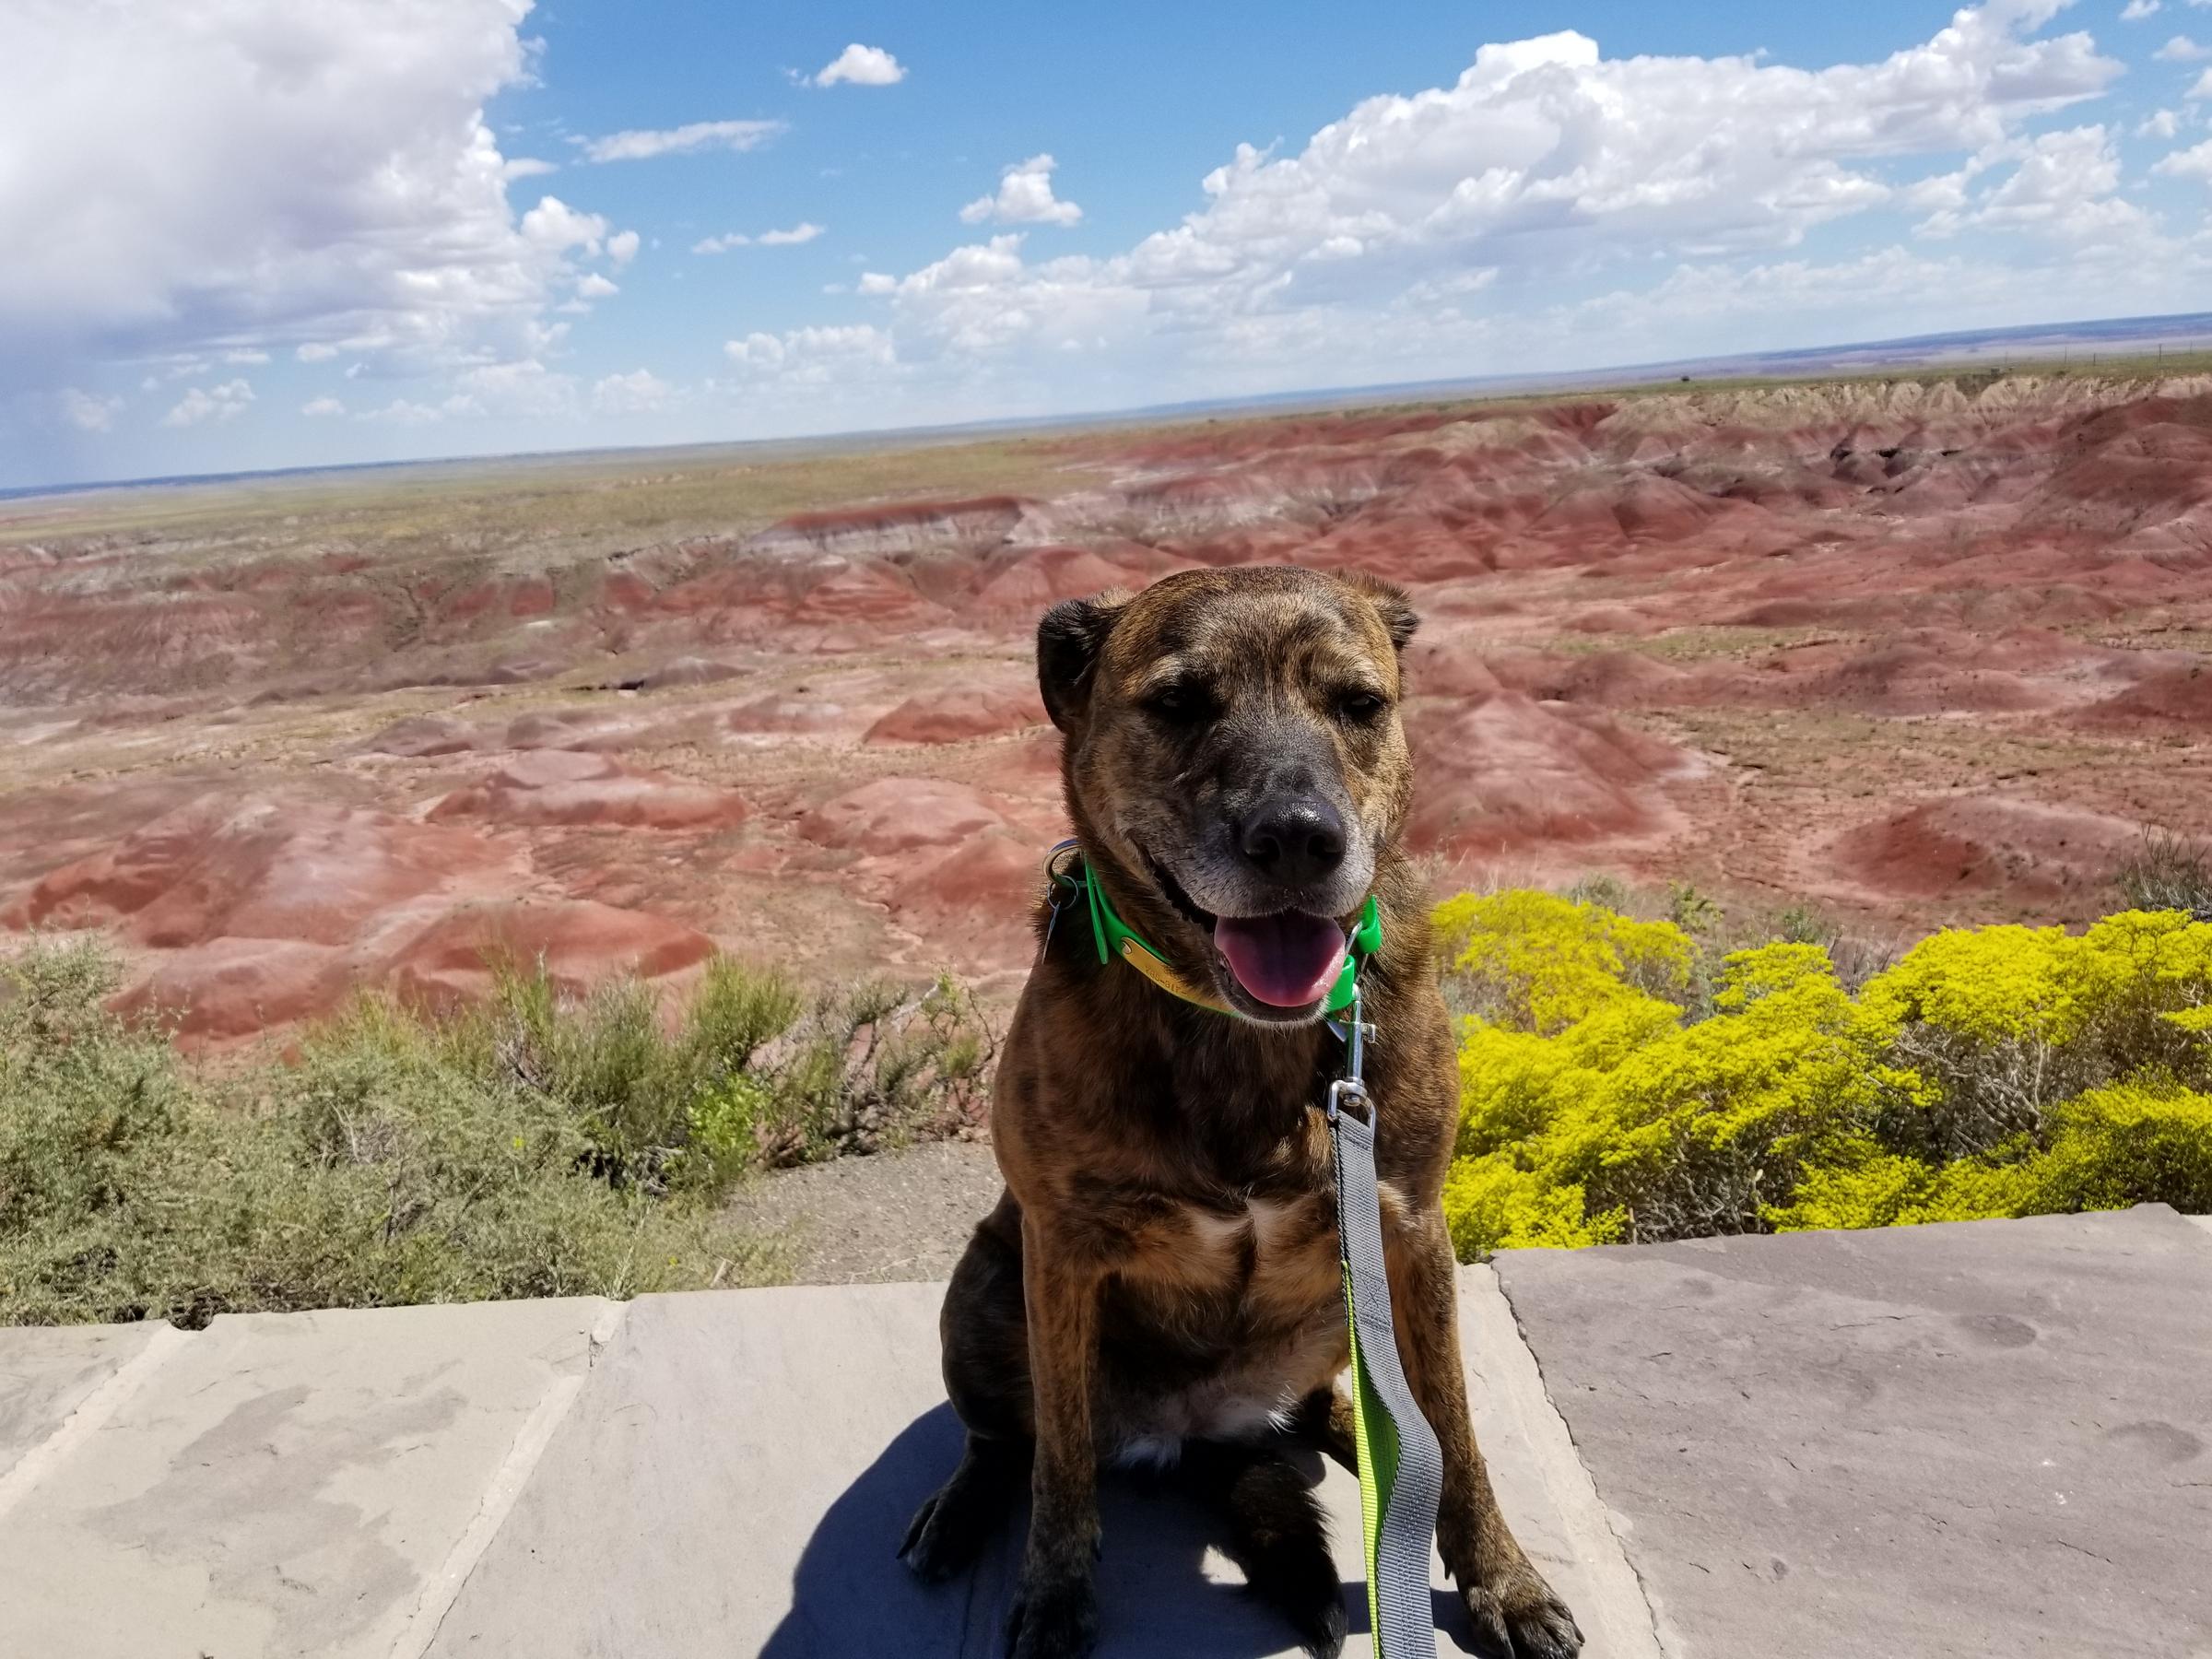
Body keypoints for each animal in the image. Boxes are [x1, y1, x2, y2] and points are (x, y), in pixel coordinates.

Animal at [893, 571, 1574, 1659]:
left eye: (1359, 704)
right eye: (1177, 703)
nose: (1297, 837)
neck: (1238, 1031)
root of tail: (1203, 1434)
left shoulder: (1410, 1229)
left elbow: (1458, 1435)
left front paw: (1503, 1583)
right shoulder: (1059, 1251)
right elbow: (1061, 1463)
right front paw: (1053, 1595)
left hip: (1344, 1303)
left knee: (1361, 1409)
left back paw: (1369, 1447)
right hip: (985, 1289)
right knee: (1008, 1439)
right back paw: (960, 1510)